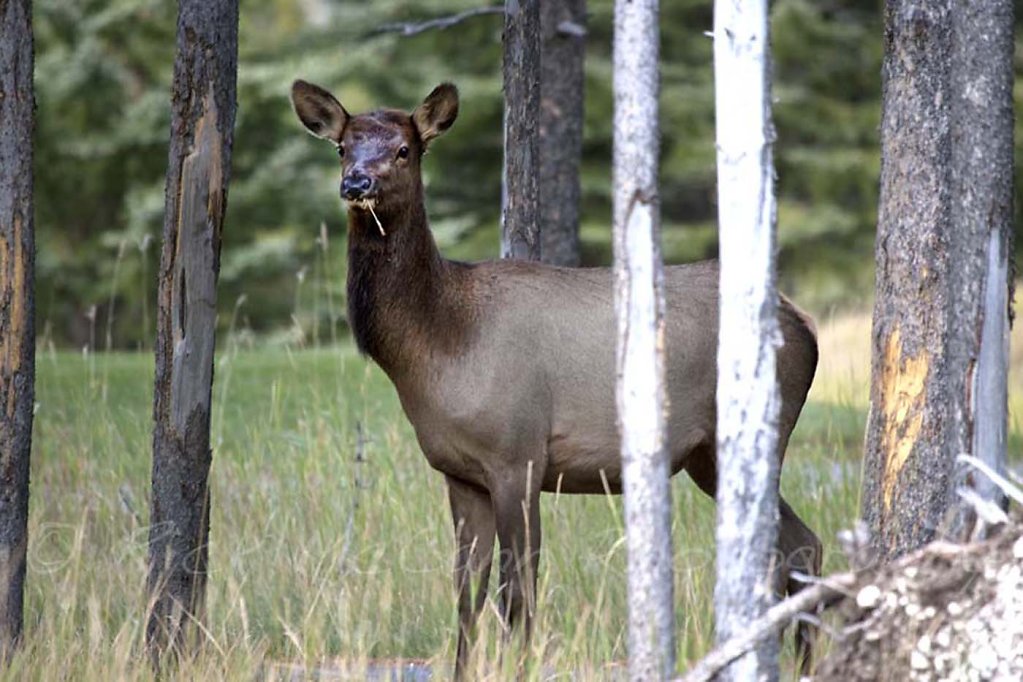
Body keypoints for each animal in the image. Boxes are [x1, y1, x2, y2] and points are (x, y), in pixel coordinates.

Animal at [290, 80, 822, 678]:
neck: (441, 341)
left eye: (404, 149)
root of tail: (803, 325)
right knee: (802, 545)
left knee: (793, 548)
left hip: (755, 431)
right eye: (342, 147)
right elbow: (466, 592)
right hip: (706, 456)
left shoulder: (517, 454)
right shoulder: (460, 473)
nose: (356, 183)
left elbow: (518, 587)